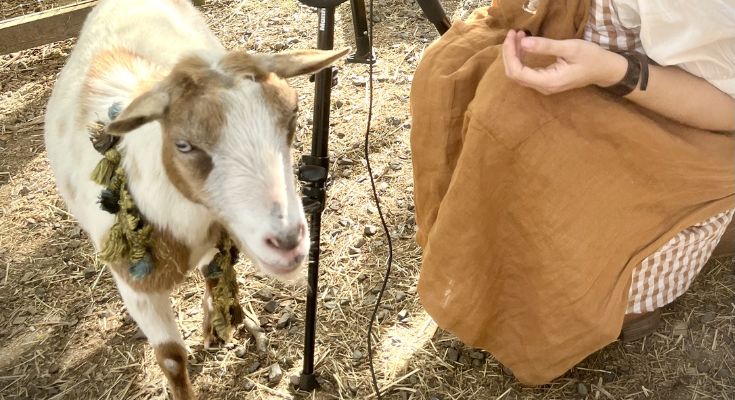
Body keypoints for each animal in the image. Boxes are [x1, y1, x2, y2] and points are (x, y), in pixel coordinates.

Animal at [44, 0, 347, 398]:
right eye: (184, 144)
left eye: (294, 114)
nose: (286, 242)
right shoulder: (137, 288)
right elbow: (172, 359)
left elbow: (216, 270)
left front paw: (219, 321)